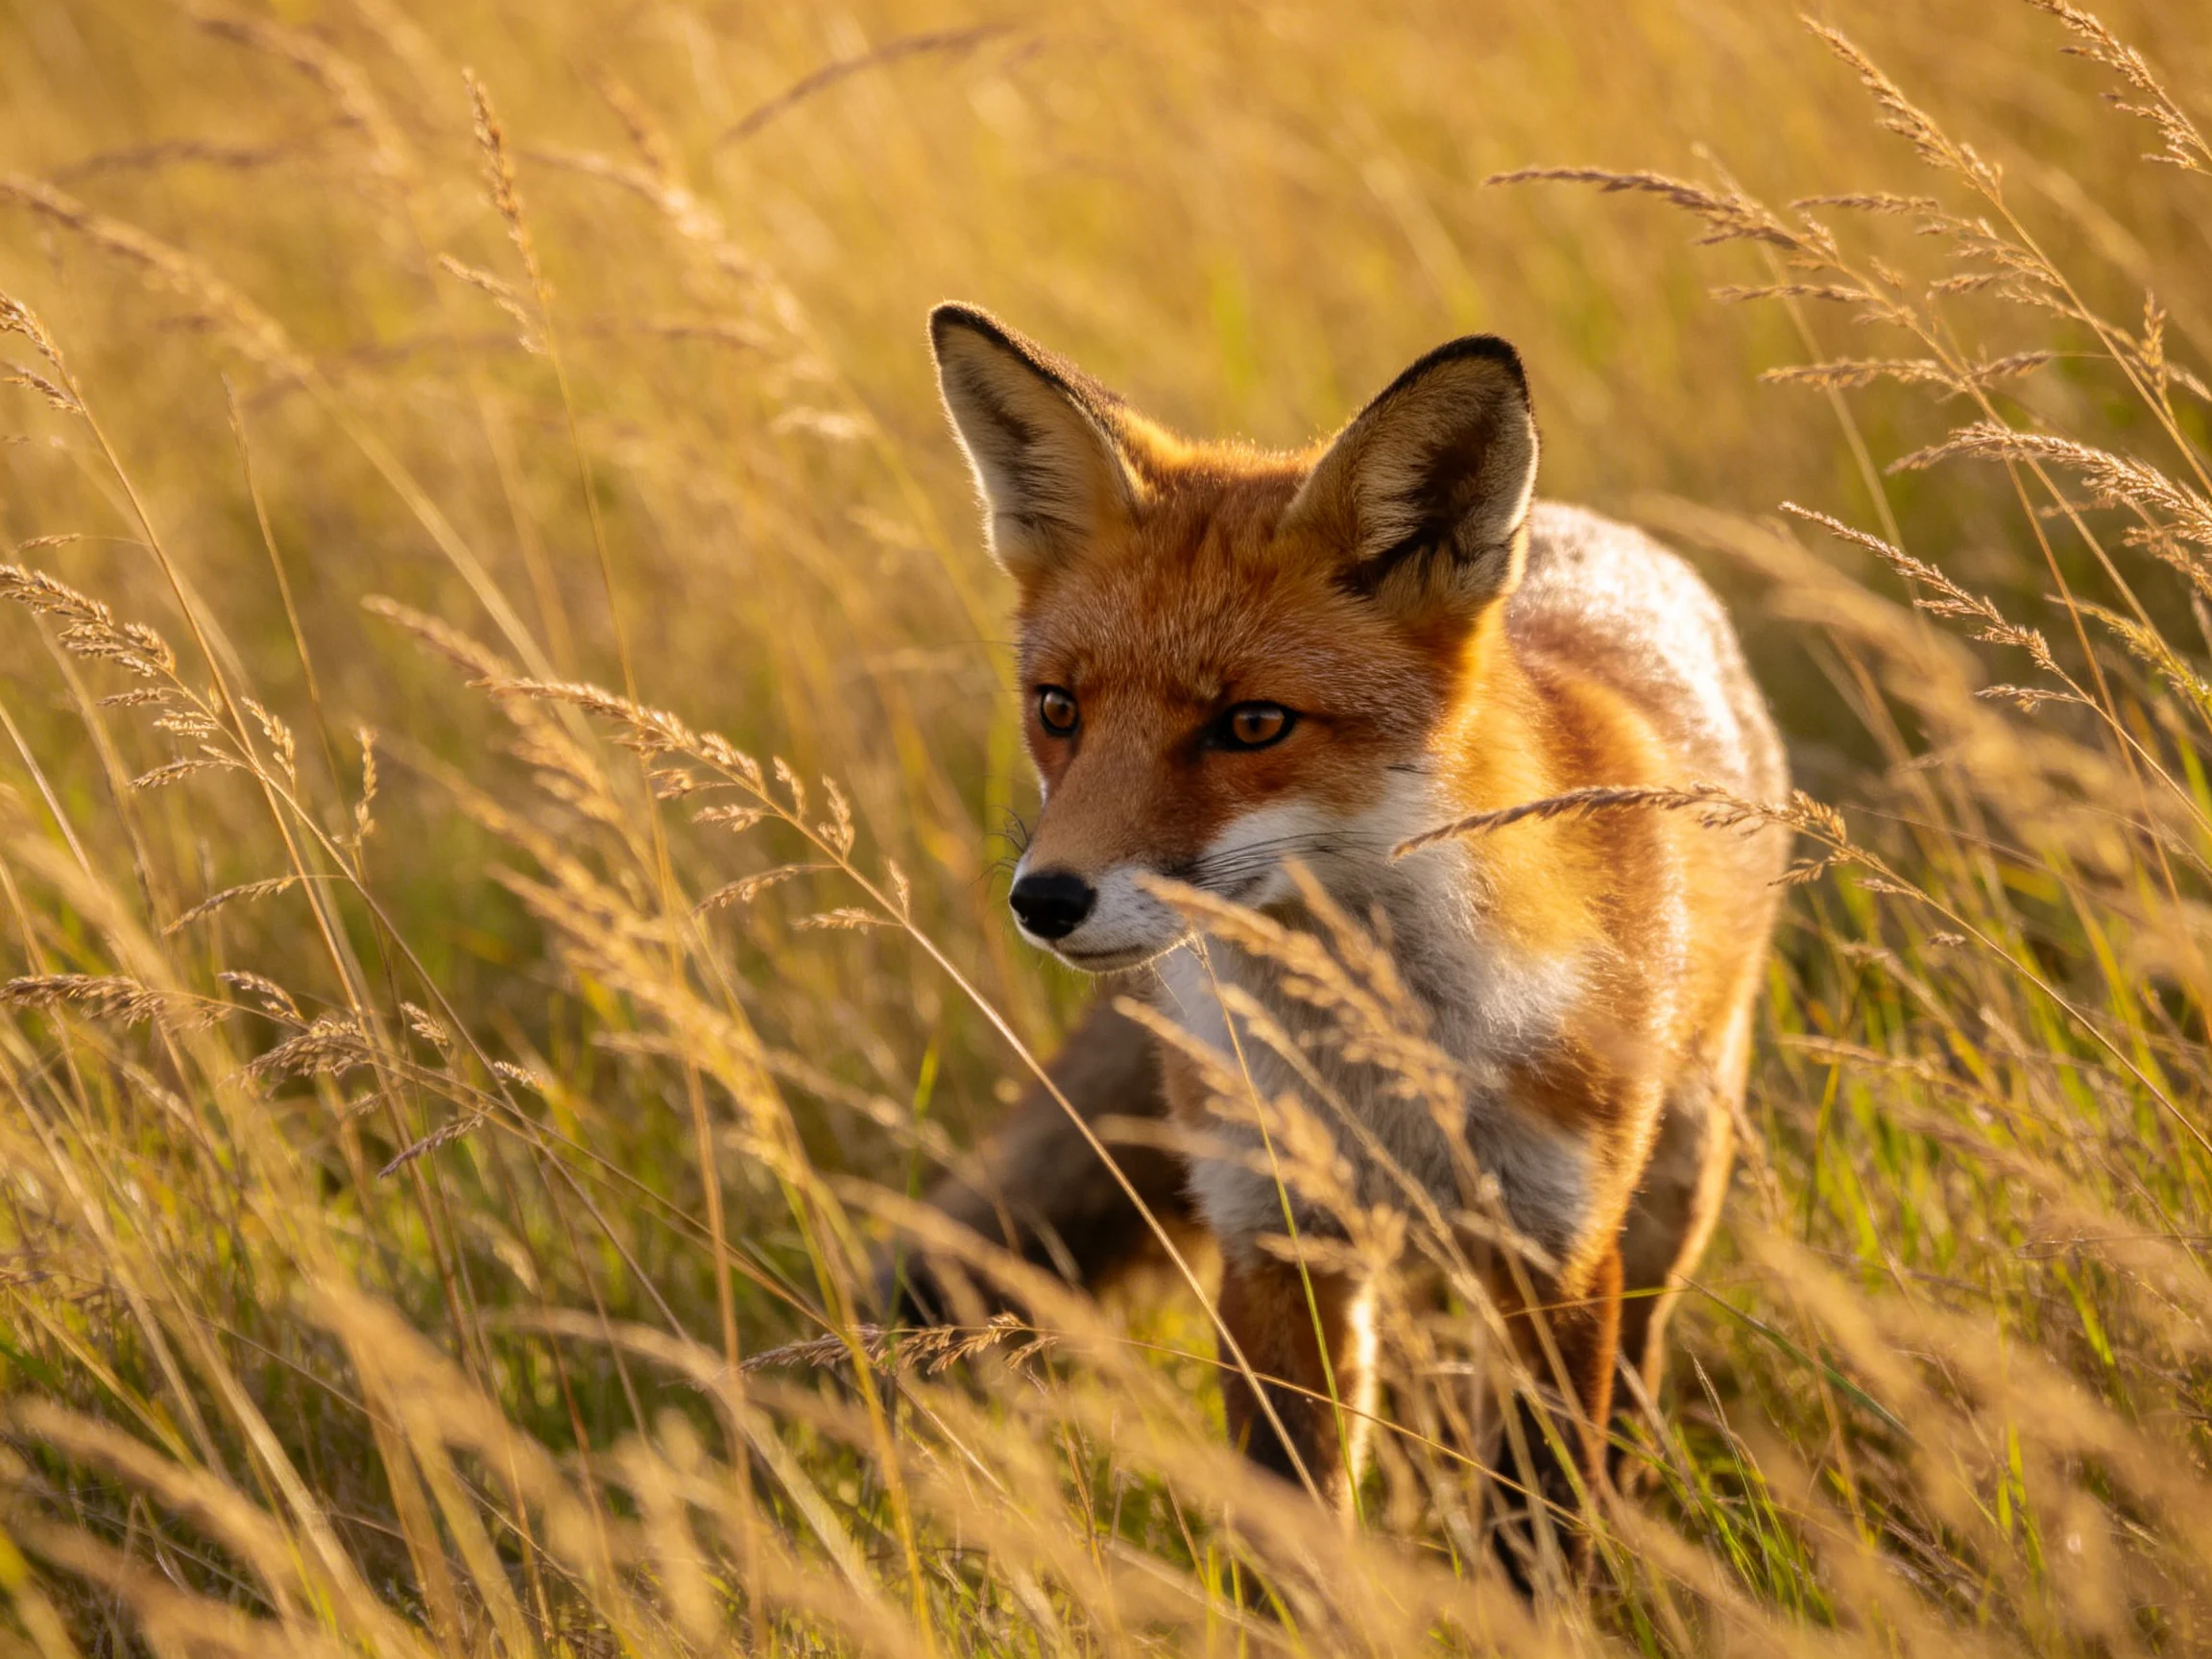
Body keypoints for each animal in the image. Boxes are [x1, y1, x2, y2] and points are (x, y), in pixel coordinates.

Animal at [903, 302, 1788, 1567]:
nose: (1047, 899)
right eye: (1059, 708)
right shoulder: (1276, 1239)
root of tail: (1592, 526)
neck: (1376, 1069)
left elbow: (1535, 1531)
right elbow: (1298, 1536)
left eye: (1252, 724)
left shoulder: (1557, 1252)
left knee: (1634, 1371)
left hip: (1673, 1190)